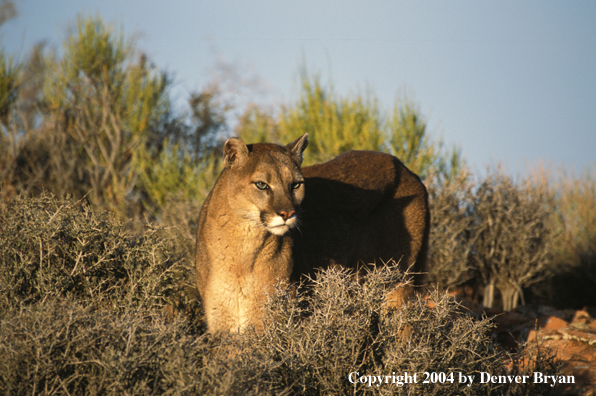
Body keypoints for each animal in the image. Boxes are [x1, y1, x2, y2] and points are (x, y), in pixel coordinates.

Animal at [196, 135, 428, 332]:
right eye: (261, 185)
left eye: (296, 185)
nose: (287, 213)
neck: (242, 250)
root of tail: (405, 168)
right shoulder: (223, 324)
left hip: (396, 286)